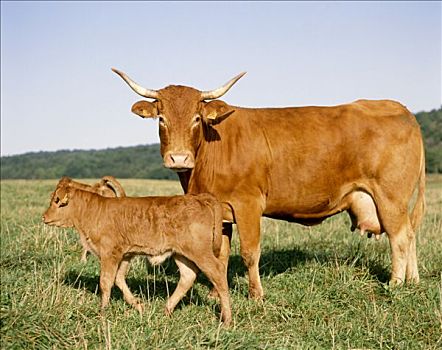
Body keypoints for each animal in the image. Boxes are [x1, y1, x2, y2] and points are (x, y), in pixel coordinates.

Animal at [42, 176, 231, 326]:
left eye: (57, 200)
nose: (44, 217)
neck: (94, 211)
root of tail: (199, 198)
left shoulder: (109, 254)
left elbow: (105, 282)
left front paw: (102, 312)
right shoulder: (125, 255)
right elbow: (119, 279)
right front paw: (138, 306)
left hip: (200, 252)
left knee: (218, 273)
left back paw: (227, 320)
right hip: (181, 253)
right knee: (188, 276)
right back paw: (167, 310)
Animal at [112, 68, 426, 300]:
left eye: (196, 118)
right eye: (161, 119)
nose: (179, 158)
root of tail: (400, 108)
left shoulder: (248, 205)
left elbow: (250, 253)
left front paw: (256, 295)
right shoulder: (220, 212)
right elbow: (220, 254)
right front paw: (216, 293)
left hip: (390, 197)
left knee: (399, 237)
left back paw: (396, 283)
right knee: (410, 233)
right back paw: (413, 281)